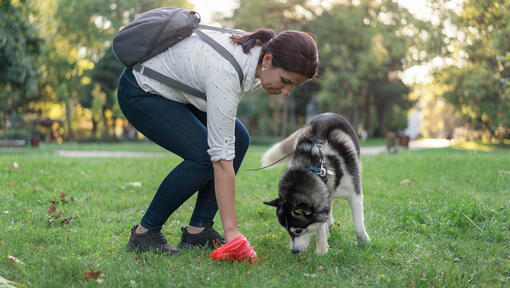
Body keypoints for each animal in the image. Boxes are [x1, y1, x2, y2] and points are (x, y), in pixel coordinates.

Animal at [262, 112, 370, 254]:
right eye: (286, 231)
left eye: (298, 231)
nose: (294, 251)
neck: (315, 168)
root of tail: (327, 113)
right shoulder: (321, 199)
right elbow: (320, 224)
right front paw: (322, 248)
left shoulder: (354, 193)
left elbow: (358, 223)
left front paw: (364, 242)